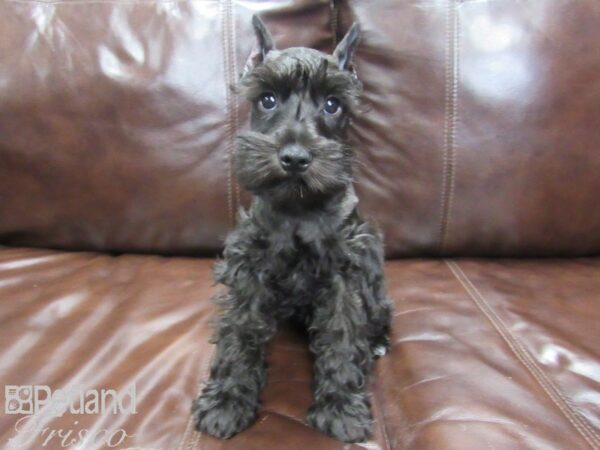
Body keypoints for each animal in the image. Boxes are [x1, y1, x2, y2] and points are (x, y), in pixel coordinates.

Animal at [190, 14, 392, 442]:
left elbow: (342, 336)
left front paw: (341, 409)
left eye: (333, 104)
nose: (295, 158)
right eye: (267, 99)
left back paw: (378, 342)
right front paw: (226, 402)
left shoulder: (344, 277)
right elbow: (240, 330)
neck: (298, 207)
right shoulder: (249, 270)